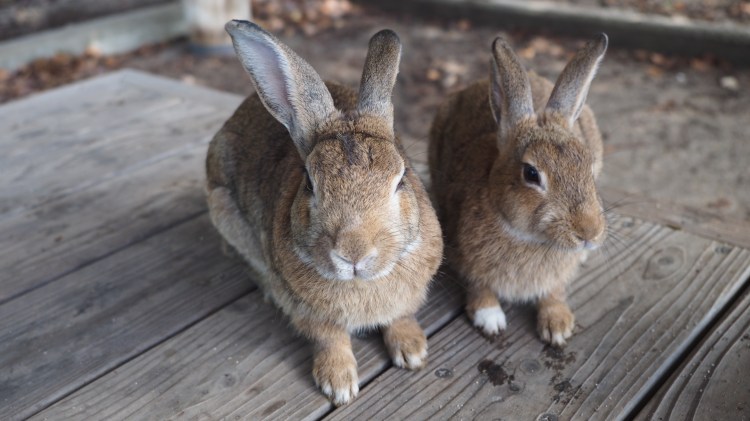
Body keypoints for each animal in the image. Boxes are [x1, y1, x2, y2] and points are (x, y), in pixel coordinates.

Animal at [206, 21, 443, 406]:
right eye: (309, 182)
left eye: (402, 177)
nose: (354, 253)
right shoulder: (309, 312)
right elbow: (330, 339)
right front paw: (339, 383)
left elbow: (401, 317)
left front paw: (412, 351)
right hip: (224, 210)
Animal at [428, 34, 608, 347]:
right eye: (531, 174)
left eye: (589, 165)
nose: (589, 232)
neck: (529, 238)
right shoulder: (466, 258)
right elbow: (478, 285)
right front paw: (490, 318)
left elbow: (554, 291)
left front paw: (558, 324)